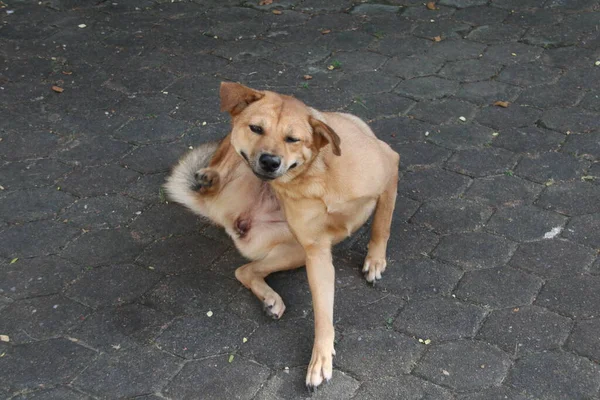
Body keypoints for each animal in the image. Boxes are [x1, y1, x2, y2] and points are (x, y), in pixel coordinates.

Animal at [220, 82, 398, 388]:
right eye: (256, 128)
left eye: (293, 139)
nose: (269, 161)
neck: (315, 176)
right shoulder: (316, 254)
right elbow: (322, 311)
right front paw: (321, 358)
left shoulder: (390, 166)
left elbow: (381, 224)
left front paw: (375, 260)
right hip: (295, 253)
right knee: (244, 270)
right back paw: (270, 299)